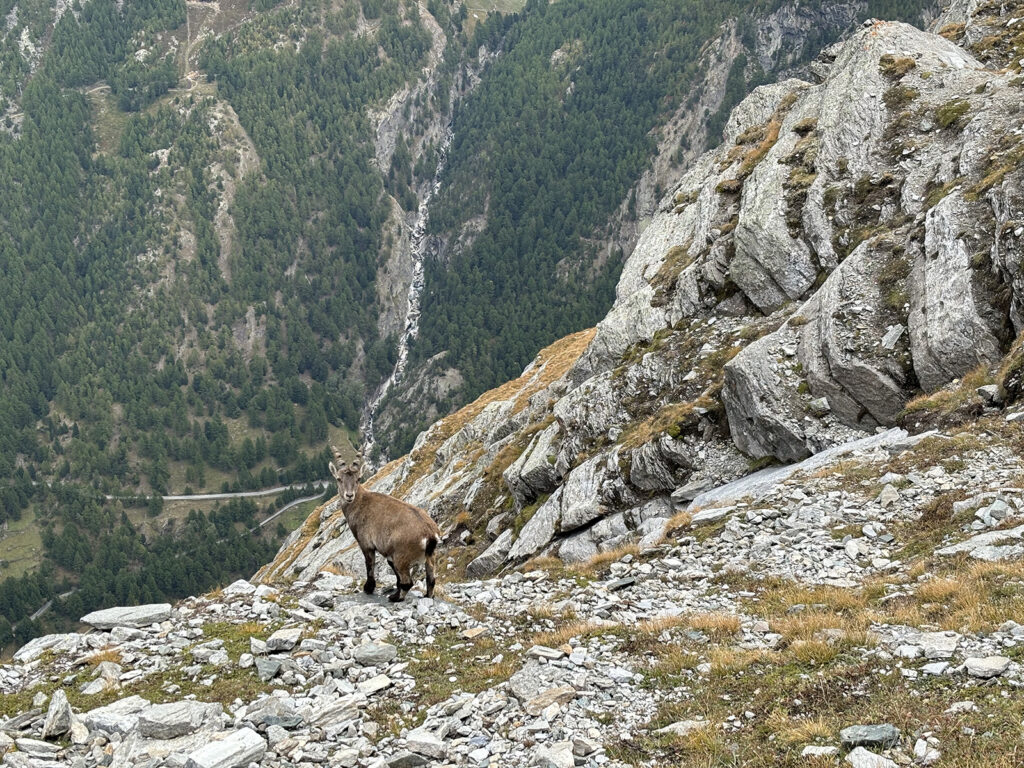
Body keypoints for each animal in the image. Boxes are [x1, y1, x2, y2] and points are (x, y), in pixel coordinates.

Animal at [328, 446, 441, 602]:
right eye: (339, 479)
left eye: (358, 479)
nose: (349, 495)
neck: (360, 502)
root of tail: (429, 534)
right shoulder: (388, 552)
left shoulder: (366, 544)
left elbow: (369, 564)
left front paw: (368, 588)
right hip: (430, 556)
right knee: (431, 579)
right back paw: (425, 595)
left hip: (402, 556)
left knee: (408, 582)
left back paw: (395, 597)